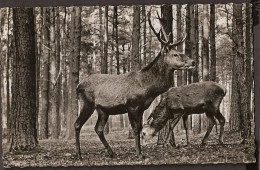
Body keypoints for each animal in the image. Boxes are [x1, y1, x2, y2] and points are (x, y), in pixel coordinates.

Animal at [73, 12, 195, 159]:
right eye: (175, 54)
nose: (193, 61)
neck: (147, 88)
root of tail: (77, 86)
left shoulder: (141, 108)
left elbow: (141, 128)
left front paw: (141, 151)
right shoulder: (131, 105)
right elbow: (136, 129)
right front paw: (139, 154)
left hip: (103, 110)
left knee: (98, 128)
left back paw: (112, 152)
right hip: (87, 103)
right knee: (77, 124)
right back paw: (79, 154)